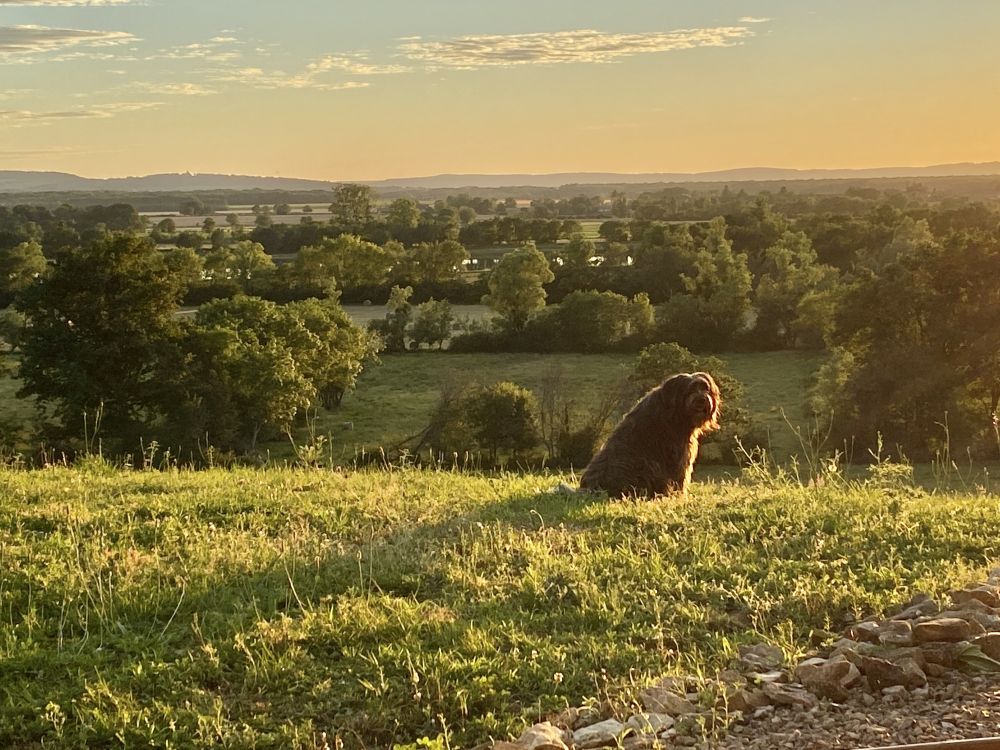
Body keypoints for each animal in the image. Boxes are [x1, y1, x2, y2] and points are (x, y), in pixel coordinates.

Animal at [580, 372, 720, 500]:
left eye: (705, 388)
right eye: (690, 390)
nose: (702, 399)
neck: (674, 412)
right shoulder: (678, 454)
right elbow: (681, 477)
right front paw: (680, 496)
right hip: (648, 466)